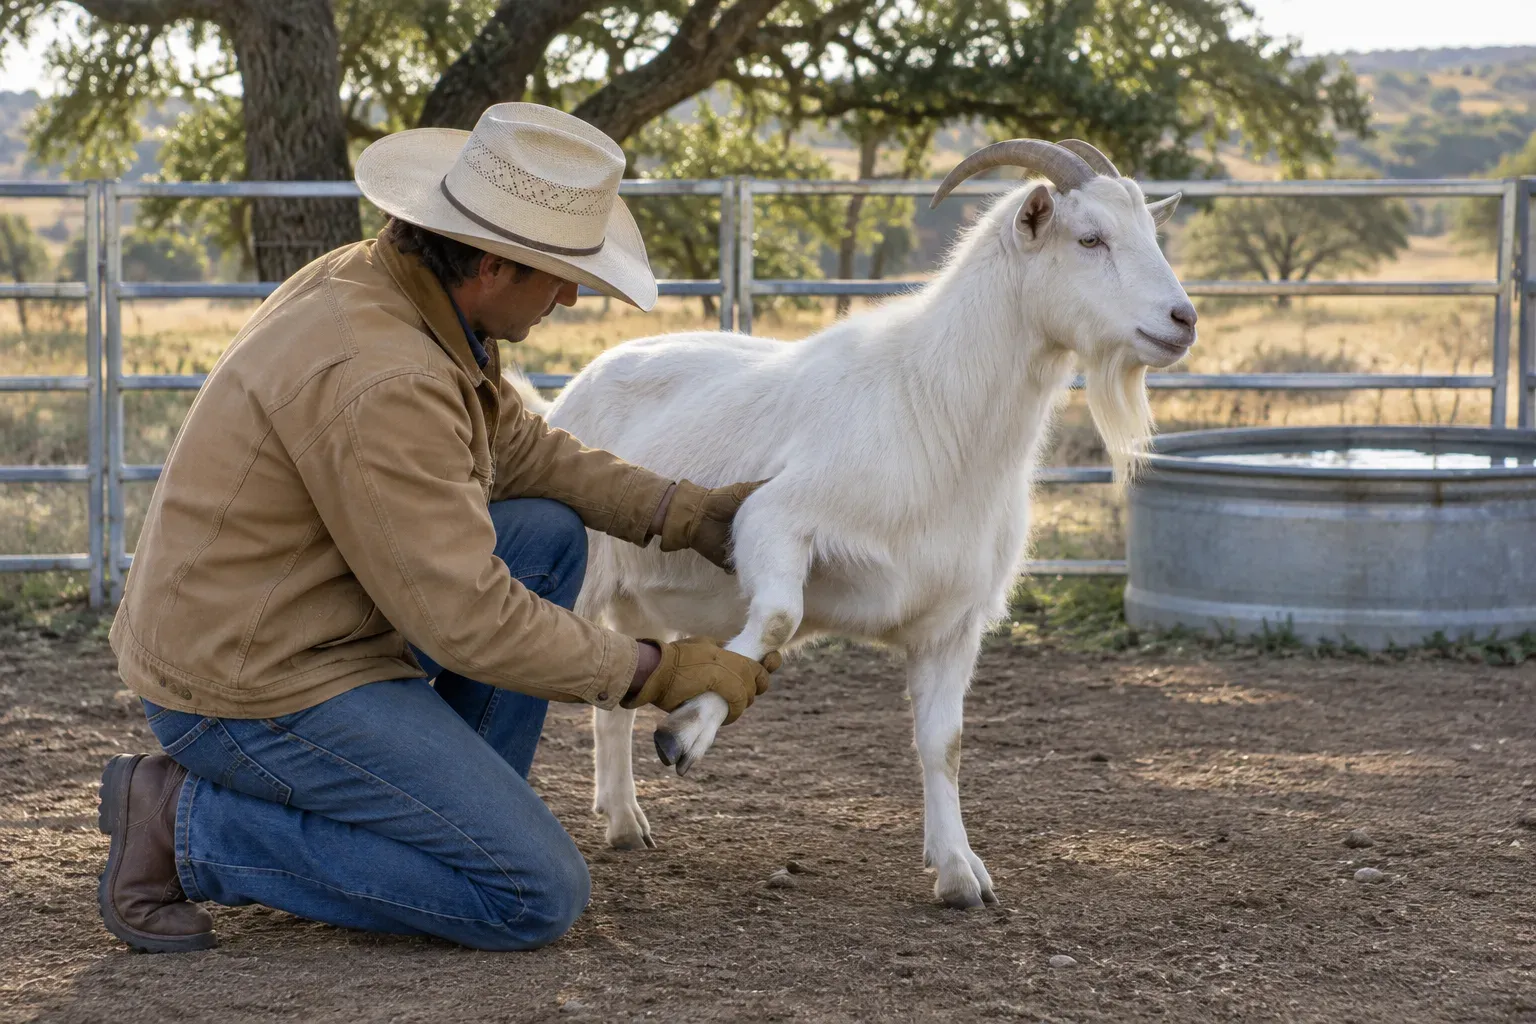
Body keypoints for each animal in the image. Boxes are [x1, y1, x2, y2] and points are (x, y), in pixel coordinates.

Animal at [528, 139, 1195, 908]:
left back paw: (625, 822)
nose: (1183, 320)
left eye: (1151, 234)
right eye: (1090, 239)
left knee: (615, 694)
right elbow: (777, 619)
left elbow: (945, 743)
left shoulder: (953, 619)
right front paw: (688, 731)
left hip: (641, 598)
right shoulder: (772, 517)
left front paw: (959, 872)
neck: (933, 408)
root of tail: (580, 383)